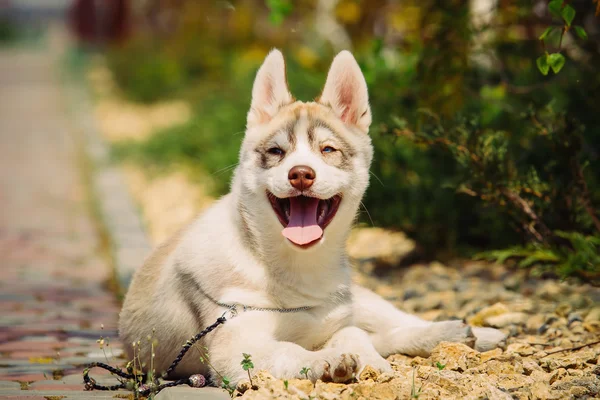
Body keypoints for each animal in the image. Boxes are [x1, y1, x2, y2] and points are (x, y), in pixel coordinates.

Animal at [118, 49, 506, 384]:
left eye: (328, 149)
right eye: (276, 152)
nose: (301, 174)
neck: (296, 270)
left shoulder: (337, 319)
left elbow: (355, 336)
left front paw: (366, 361)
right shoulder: (238, 347)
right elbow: (293, 351)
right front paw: (328, 362)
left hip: (362, 299)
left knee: (392, 323)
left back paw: (467, 332)